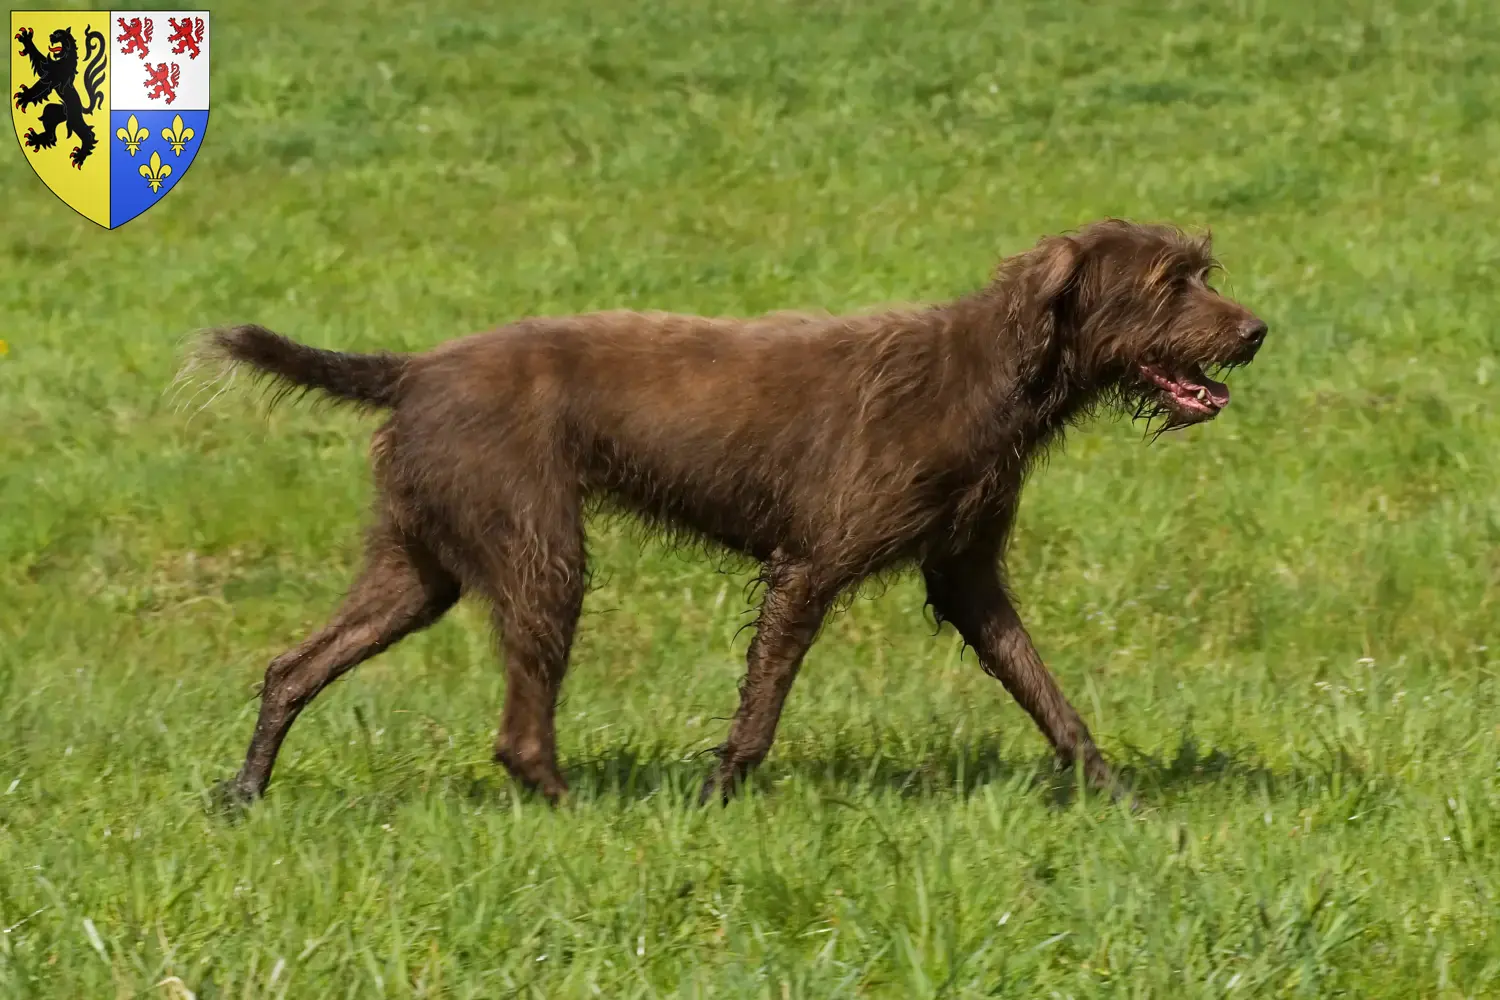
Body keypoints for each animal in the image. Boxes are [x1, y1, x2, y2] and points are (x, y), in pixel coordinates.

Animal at [190, 218, 1266, 803]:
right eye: (1170, 283)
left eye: (1202, 270)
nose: (1258, 329)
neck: (993, 373)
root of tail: (415, 369)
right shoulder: (810, 566)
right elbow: (759, 711)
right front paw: (713, 798)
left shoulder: (966, 578)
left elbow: (1053, 701)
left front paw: (1121, 799)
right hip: (541, 552)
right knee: (519, 734)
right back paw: (580, 813)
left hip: (417, 568)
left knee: (292, 668)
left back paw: (244, 793)